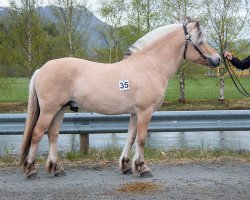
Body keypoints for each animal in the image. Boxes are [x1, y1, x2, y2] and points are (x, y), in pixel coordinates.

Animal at [19, 19, 220, 180]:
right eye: (200, 41)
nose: (218, 59)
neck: (150, 65)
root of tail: (41, 69)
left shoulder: (135, 113)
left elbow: (130, 137)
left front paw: (126, 165)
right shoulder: (145, 111)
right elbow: (141, 139)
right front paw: (142, 168)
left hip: (60, 109)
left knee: (53, 134)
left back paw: (56, 168)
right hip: (49, 110)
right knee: (37, 134)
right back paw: (31, 170)